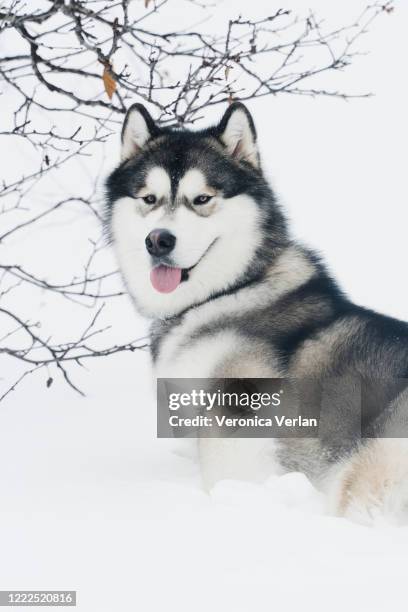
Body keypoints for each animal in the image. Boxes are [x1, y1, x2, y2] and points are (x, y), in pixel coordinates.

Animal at [105, 103, 408, 524]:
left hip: (369, 470)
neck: (227, 293)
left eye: (202, 199)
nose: (158, 240)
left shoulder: (235, 439)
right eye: (149, 198)